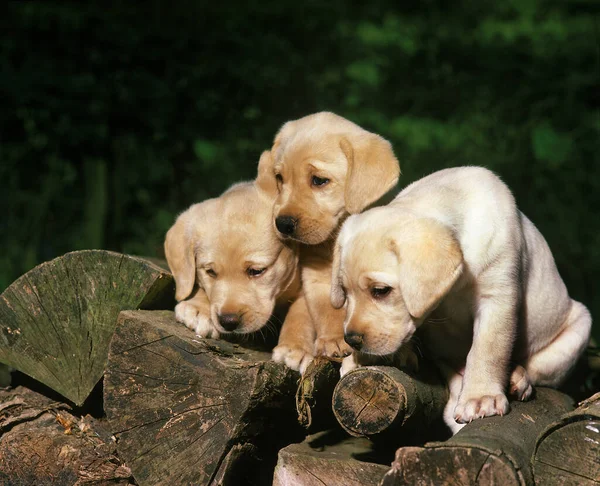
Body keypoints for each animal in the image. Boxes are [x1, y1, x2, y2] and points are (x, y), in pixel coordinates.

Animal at [268, 112, 404, 370]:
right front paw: (334, 340)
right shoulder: (317, 276)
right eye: (279, 178)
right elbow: (328, 309)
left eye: (319, 180)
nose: (282, 224)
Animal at [332, 167, 592, 432]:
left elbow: (487, 349)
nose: (351, 340)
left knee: (534, 369)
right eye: (345, 291)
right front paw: (363, 358)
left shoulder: (497, 298)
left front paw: (481, 397)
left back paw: (517, 377)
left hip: (575, 333)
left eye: (381, 290)